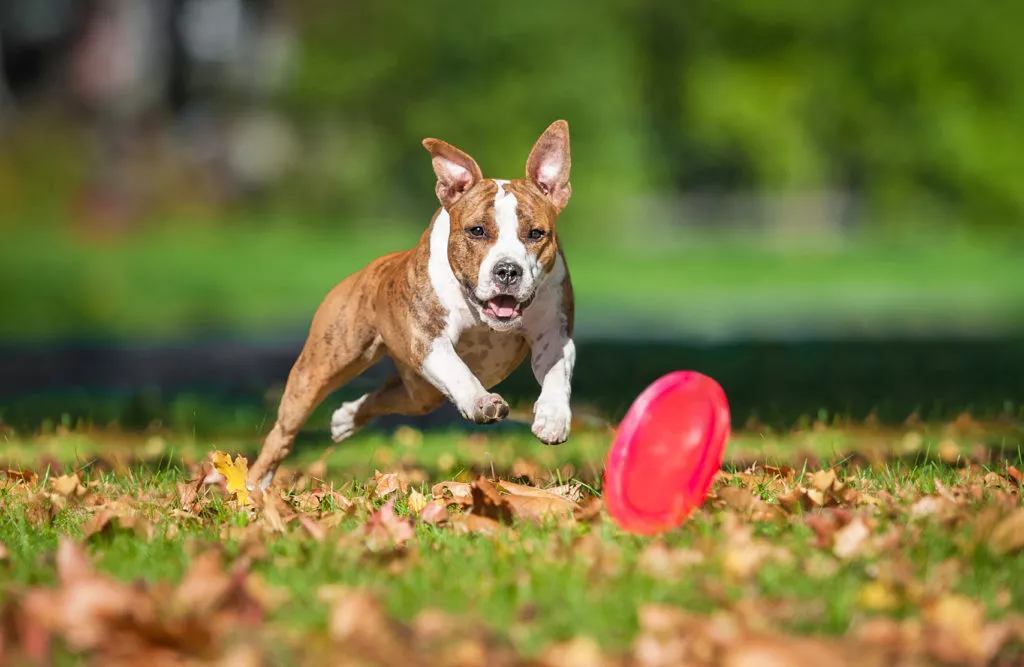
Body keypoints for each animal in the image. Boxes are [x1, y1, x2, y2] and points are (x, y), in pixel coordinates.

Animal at [245, 118, 577, 489]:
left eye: (536, 234)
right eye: (477, 230)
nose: (507, 270)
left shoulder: (555, 335)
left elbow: (556, 374)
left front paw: (553, 417)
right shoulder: (428, 340)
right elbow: (458, 371)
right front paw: (480, 402)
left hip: (421, 394)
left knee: (385, 394)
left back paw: (346, 418)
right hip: (319, 368)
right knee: (283, 432)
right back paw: (253, 485)